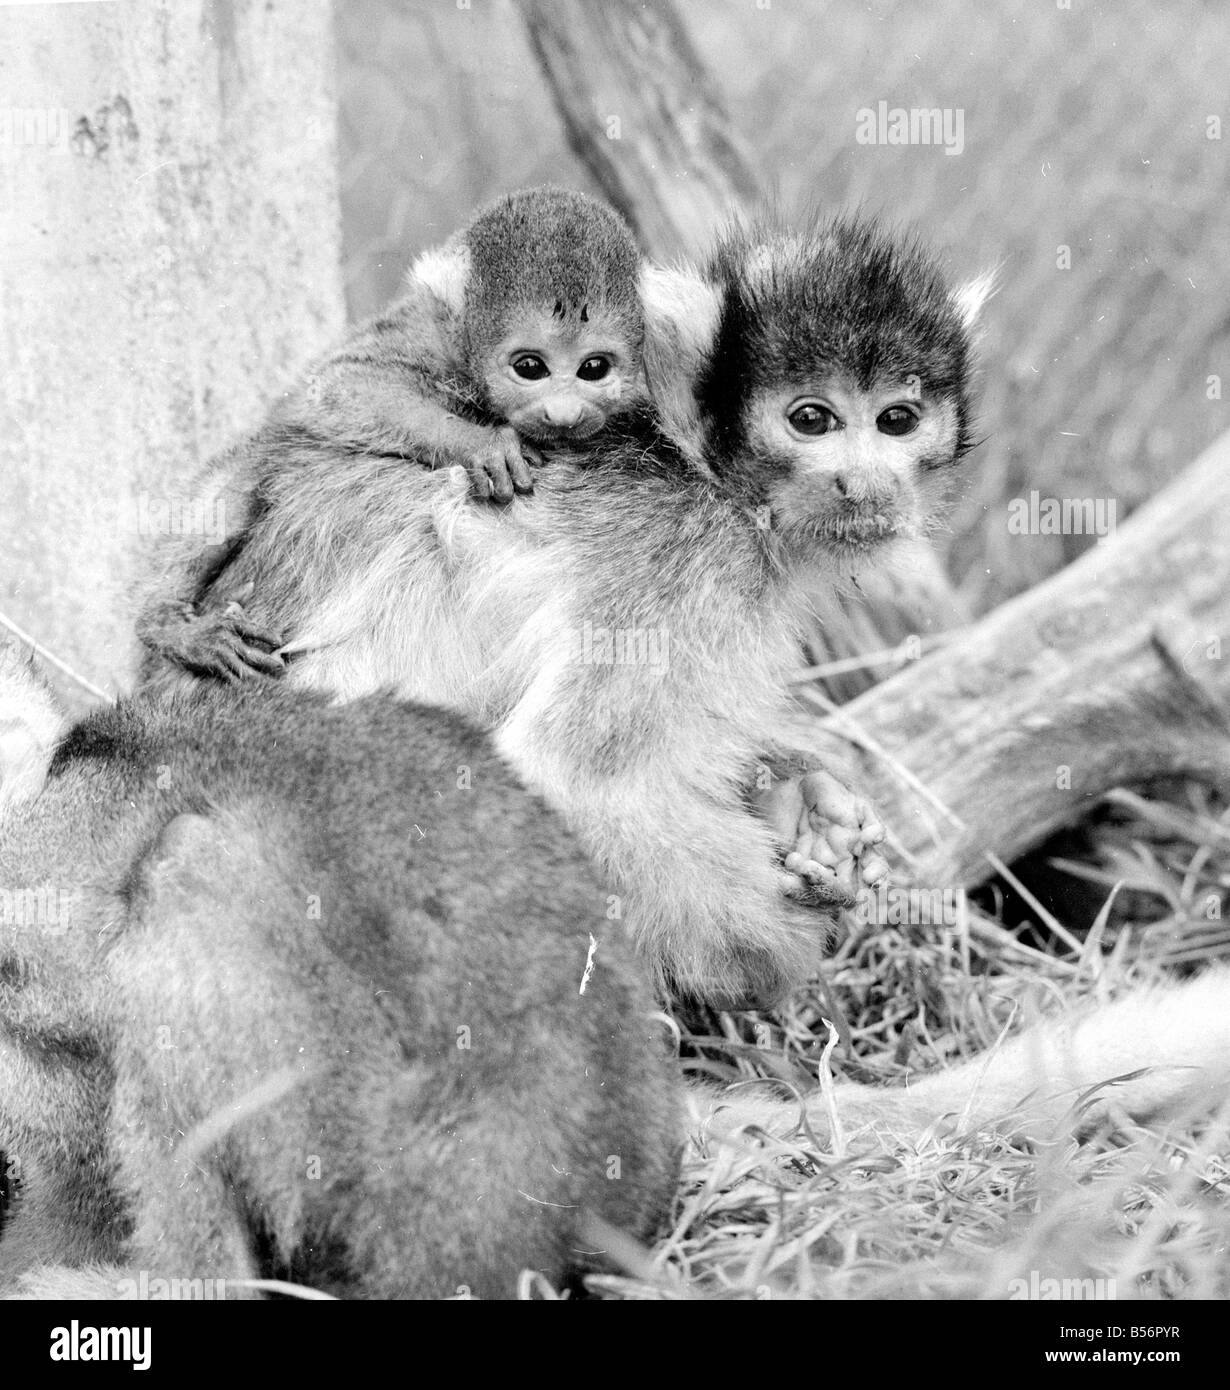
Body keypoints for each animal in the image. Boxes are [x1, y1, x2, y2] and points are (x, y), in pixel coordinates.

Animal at [136, 185, 649, 684]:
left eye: (593, 368)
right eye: (530, 367)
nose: (564, 412)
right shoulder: (426, 339)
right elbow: (341, 386)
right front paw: (485, 447)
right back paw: (163, 623)